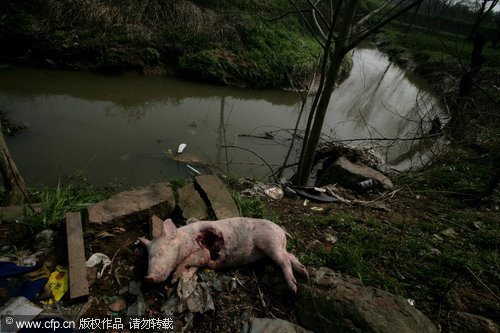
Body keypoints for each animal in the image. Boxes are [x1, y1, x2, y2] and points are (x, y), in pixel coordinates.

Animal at [139, 217, 306, 292]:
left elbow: (187, 261)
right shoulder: (203, 258)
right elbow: (193, 266)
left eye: (160, 252)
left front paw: (174, 279)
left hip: (271, 243)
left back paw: (294, 288)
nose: (147, 277)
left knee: (285, 260)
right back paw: (305, 273)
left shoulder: (203, 252)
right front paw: (182, 278)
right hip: (275, 247)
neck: (186, 240)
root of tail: (282, 231)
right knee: (290, 254)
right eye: (148, 258)